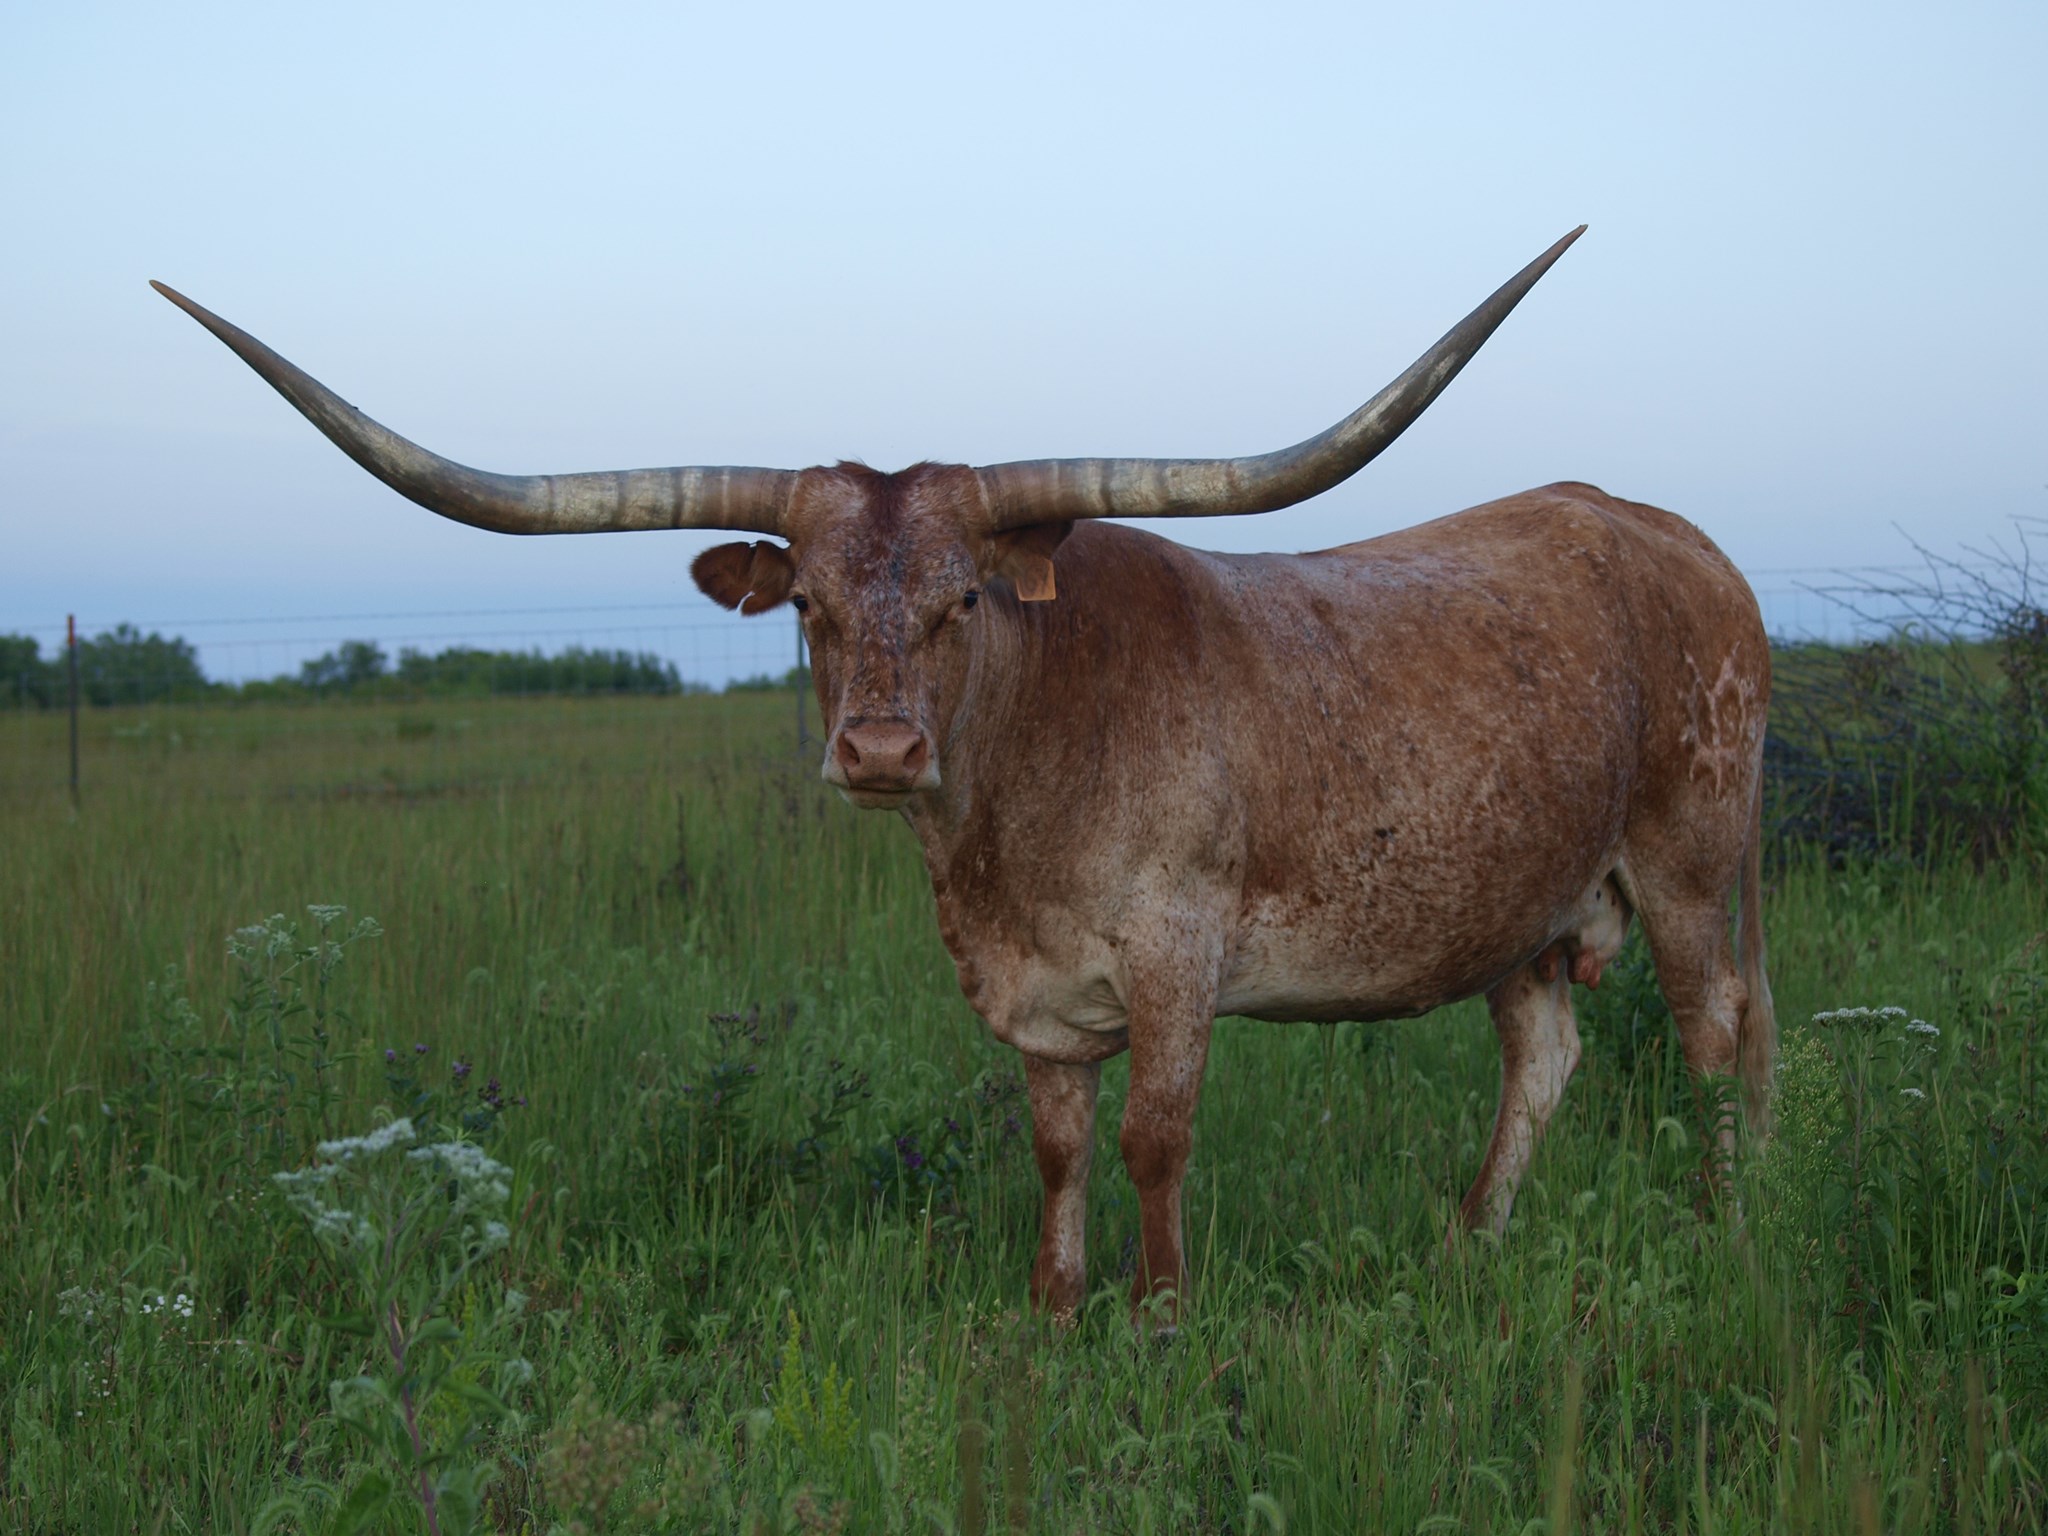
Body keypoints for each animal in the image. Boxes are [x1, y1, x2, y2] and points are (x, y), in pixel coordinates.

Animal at [153, 227, 1776, 1324]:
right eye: (807, 603)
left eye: (962, 601)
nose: (879, 748)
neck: (1014, 824)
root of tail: (1668, 535)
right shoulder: (1036, 995)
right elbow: (1058, 1152)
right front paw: (1057, 1315)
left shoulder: (1176, 956)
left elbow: (1153, 1140)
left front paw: (1162, 1316)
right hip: (1527, 906)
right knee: (1546, 1057)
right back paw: (1471, 1241)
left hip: (1692, 863)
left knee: (1716, 1039)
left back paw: (1722, 1227)